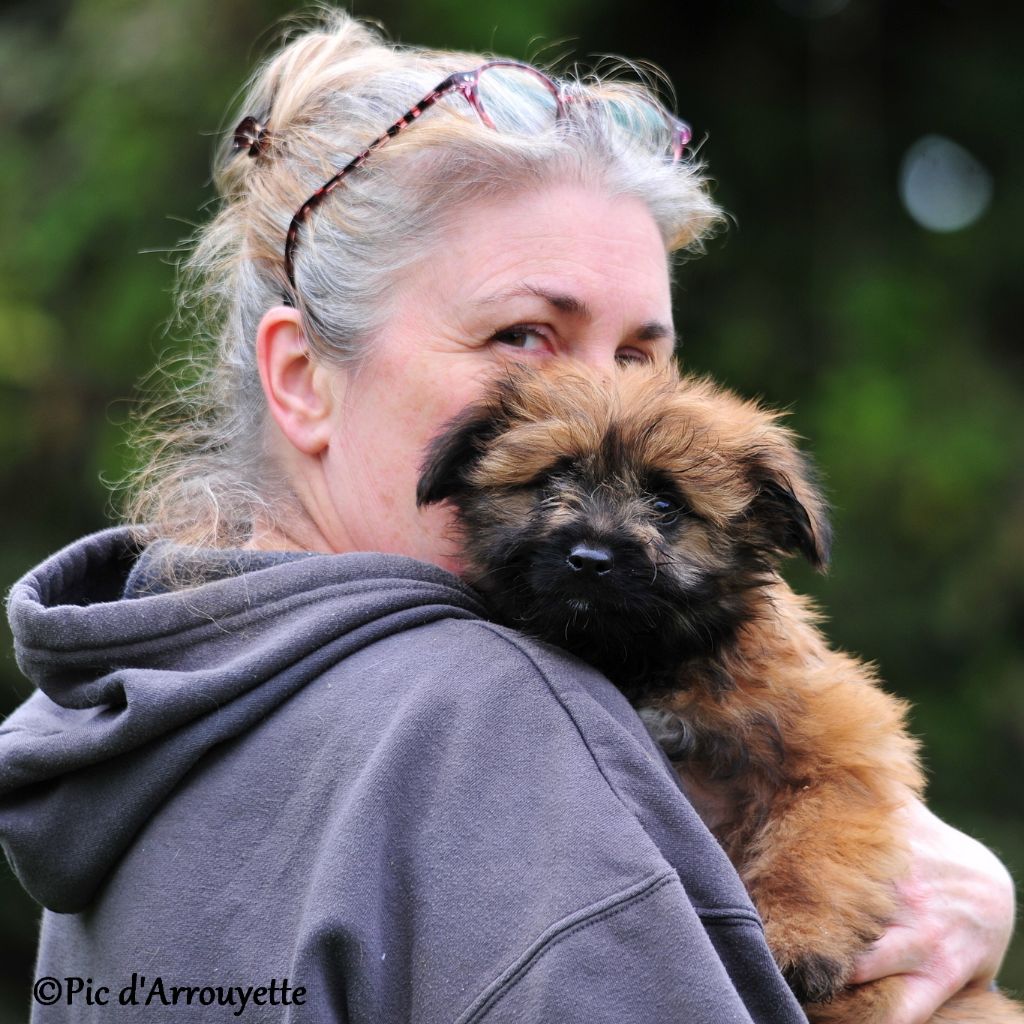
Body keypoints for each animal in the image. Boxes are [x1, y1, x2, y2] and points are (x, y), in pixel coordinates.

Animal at [417, 360, 1024, 1024]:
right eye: (552, 478)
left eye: (666, 504)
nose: (590, 559)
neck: (650, 662)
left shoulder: (844, 750)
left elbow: (811, 849)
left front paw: (796, 939)